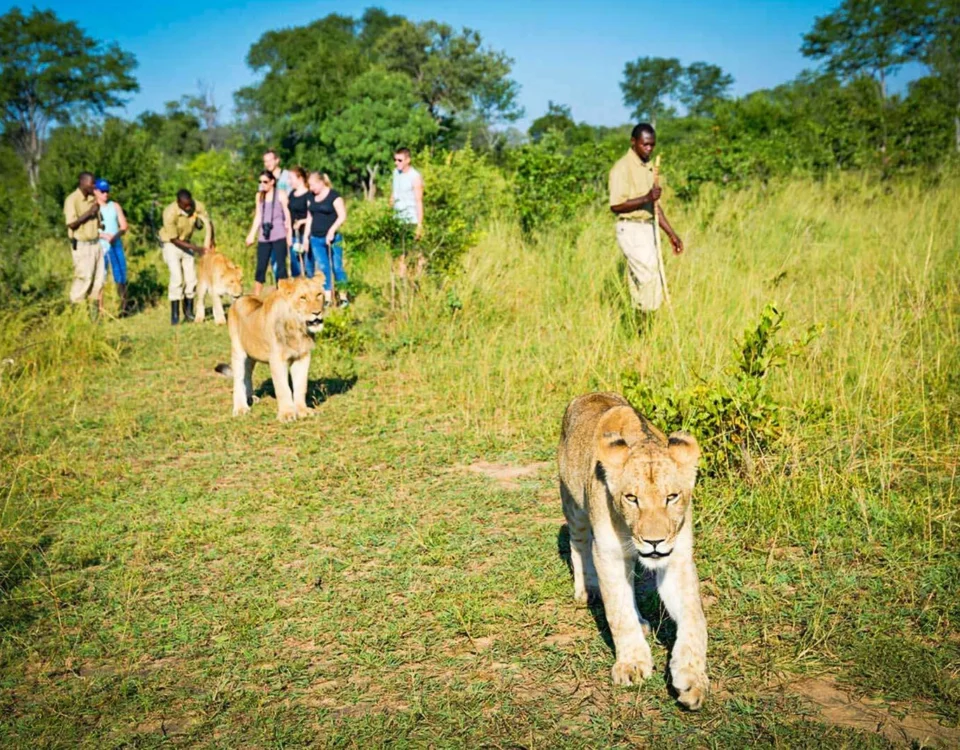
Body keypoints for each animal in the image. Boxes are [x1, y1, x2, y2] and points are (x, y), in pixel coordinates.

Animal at [227, 275, 325, 422]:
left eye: (319, 295)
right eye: (303, 298)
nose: (317, 313)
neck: (297, 329)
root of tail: (241, 298)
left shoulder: (302, 357)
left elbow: (301, 386)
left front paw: (303, 411)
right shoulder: (277, 360)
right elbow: (283, 388)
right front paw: (287, 415)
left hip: (251, 355)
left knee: (247, 374)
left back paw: (251, 398)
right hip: (238, 350)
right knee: (238, 378)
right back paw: (241, 408)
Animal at [558, 392, 708, 710]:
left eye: (671, 497)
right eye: (631, 498)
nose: (654, 542)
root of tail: (588, 394)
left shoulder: (677, 558)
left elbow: (694, 619)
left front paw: (692, 678)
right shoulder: (609, 554)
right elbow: (619, 612)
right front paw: (631, 665)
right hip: (573, 504)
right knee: (578, 544)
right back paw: (587, 590)